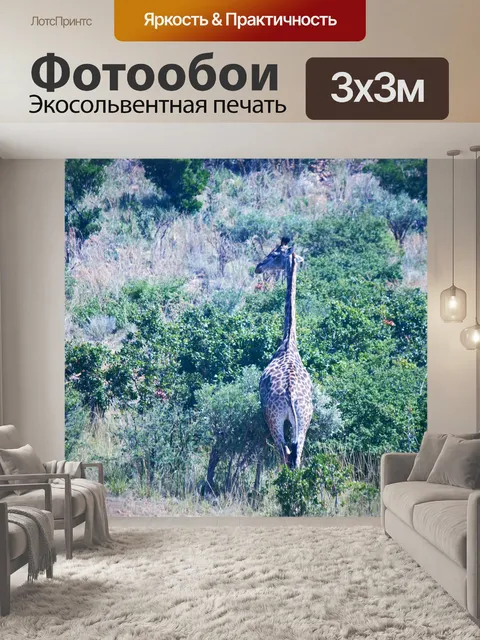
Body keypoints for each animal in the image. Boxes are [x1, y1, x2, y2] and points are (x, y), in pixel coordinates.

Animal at [255, 237, 313, 469]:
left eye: (273, 254)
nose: (258, 267)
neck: (289, 341)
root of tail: (290, 395)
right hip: (304, 420)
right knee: (296, 455)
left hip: (274, 418)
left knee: (285, 452)